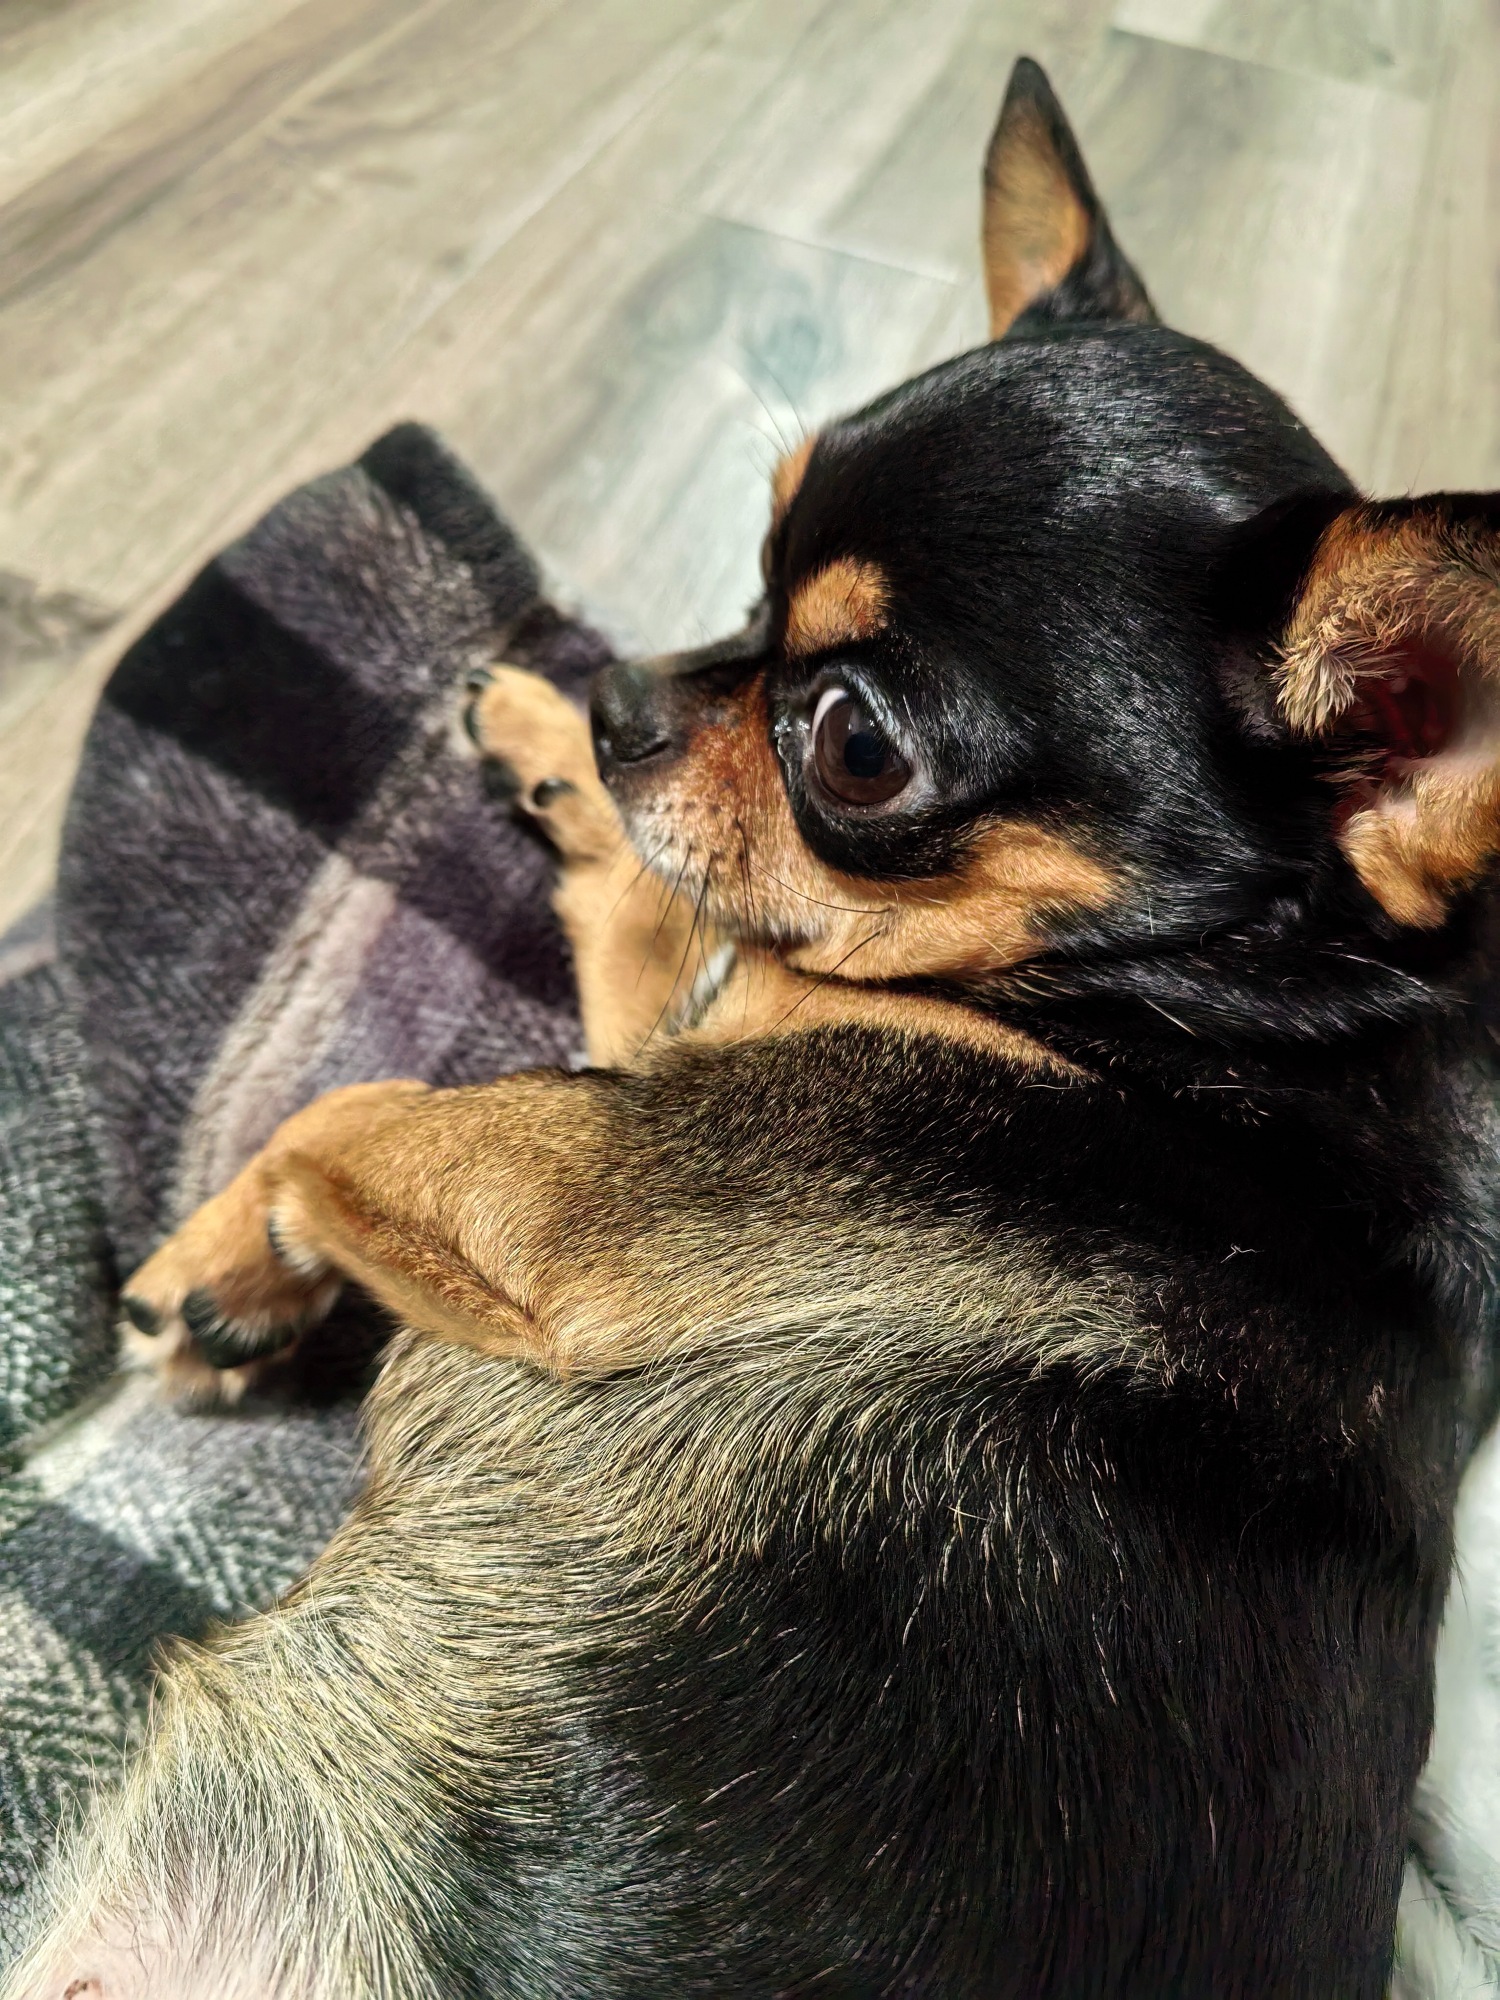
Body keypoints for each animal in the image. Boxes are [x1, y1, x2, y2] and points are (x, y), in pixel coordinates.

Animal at [9, 55, 1500, 2000]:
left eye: (854, 745)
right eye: (757, 554)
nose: (629, 695)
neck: (1207, 1016)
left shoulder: (582, 1178)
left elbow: (360, 1103)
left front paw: (227, 1251)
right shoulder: (683, 1026)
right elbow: (652, 902)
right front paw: (548, 730)